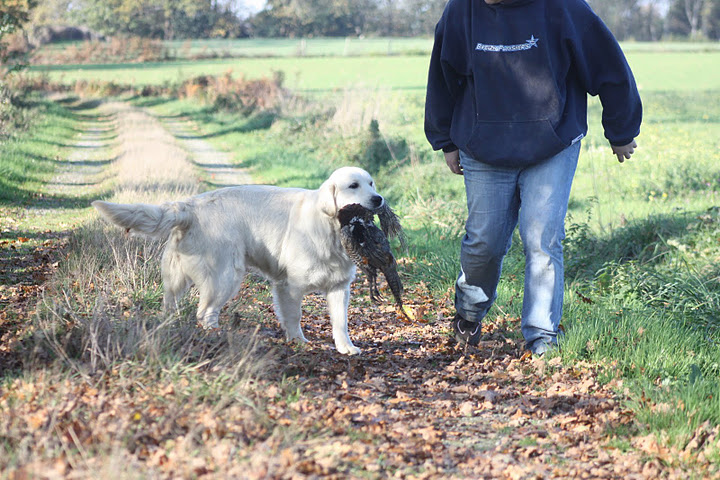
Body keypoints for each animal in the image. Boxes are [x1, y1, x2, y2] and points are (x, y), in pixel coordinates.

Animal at [95, 167, 382, 354]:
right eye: (353, 186)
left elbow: (341, 322)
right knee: (205, 312)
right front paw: (298, 342)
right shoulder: (288, 286)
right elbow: (294, 316)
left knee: (171, 304)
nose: (379, 199)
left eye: (371, 183)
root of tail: (189, 206)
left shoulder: (339, 287)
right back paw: (215, 335)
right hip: (225, 276)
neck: (329, 227)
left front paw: (346, 347)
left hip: (177, 277)